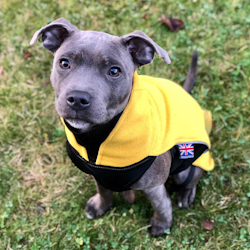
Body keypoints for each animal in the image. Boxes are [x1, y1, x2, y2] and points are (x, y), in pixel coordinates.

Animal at [30, 17, 214, 236]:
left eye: (114, 71)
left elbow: (161, 205)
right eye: (64, 63)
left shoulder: (153, 185)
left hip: (185, 168)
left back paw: (185, 194)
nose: (77, 99)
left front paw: (162, 224)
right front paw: (100, 206)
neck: (98, 136)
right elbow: (103, 190)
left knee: (192, 176)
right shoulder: (98, 174)